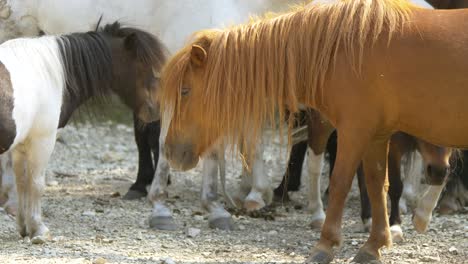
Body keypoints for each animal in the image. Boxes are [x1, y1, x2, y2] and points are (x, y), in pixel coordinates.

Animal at [159, 1, 468, 262]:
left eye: (185, 91)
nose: (171, 151)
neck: (347, 48)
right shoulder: (378, 135)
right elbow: (377, 183)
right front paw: (374, 245)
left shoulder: (354, 130)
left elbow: (341, 182)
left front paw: (325, 244)